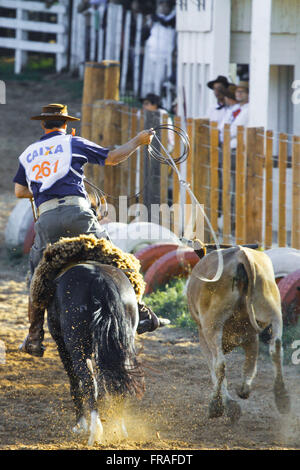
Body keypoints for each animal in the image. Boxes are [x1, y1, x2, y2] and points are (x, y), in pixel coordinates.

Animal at [47, 262, 144, 446]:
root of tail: (101, 280)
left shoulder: (62, 346)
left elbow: (76, 383)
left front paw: (79, 425)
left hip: (76, 347)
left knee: (88, 382)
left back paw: (94, 432)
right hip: (122, 347)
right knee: (118, 382)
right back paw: (119, 428)